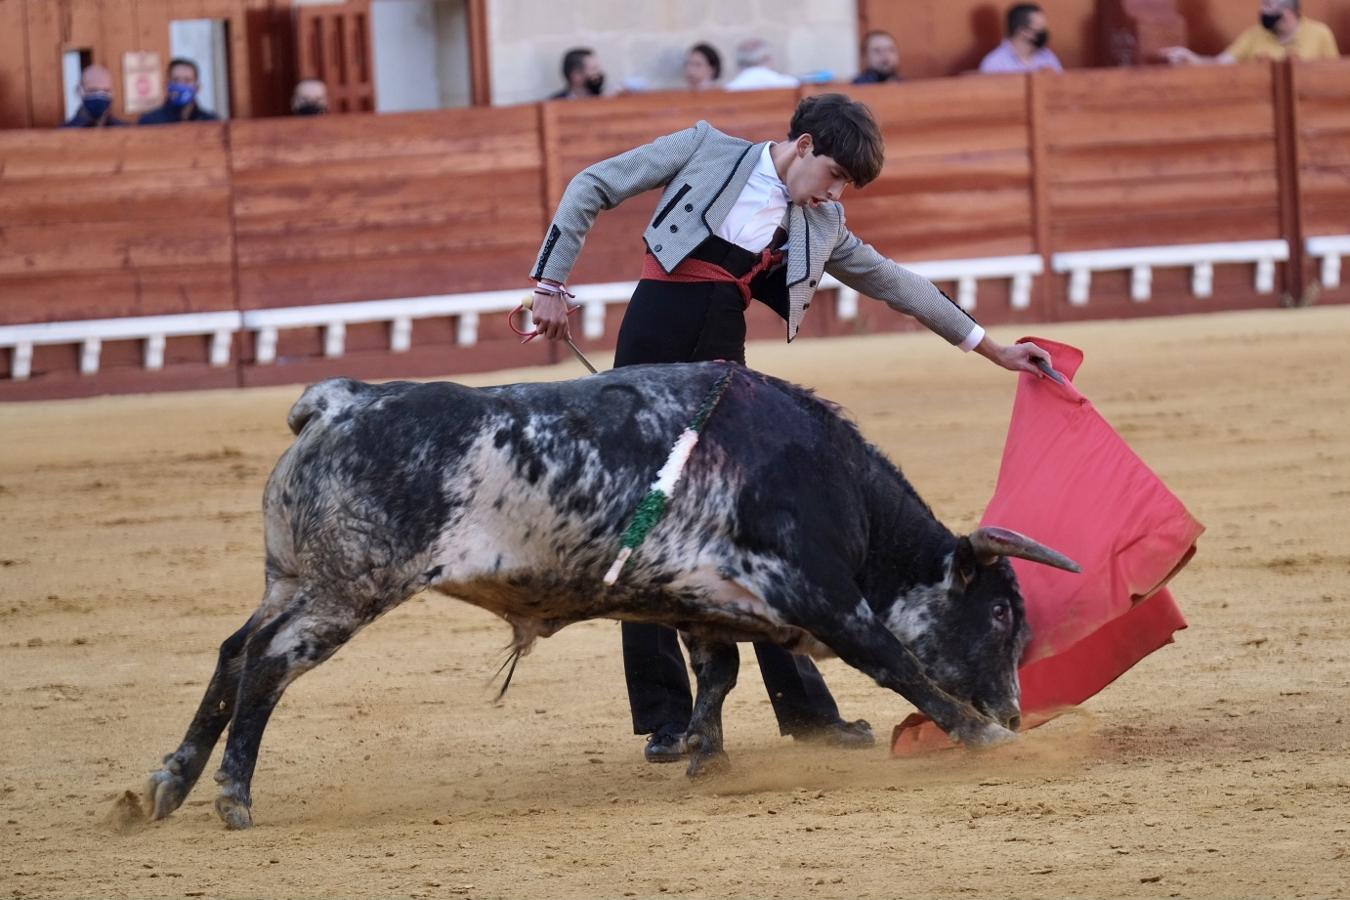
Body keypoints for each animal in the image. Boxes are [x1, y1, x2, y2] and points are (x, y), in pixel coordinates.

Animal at [142, 361, 1080, 825]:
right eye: (1001, 612)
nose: (1015, 708)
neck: (829, 484)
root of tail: (341, 404)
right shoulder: (820, 598)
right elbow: (898, 666)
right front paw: (983, 741)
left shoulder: (698, 601)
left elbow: (719, 674)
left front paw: (705, 755)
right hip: (349, 589)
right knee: (270, 665)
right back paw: (231, 795)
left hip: (295, 578)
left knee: (233, 652)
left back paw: (165, 784)